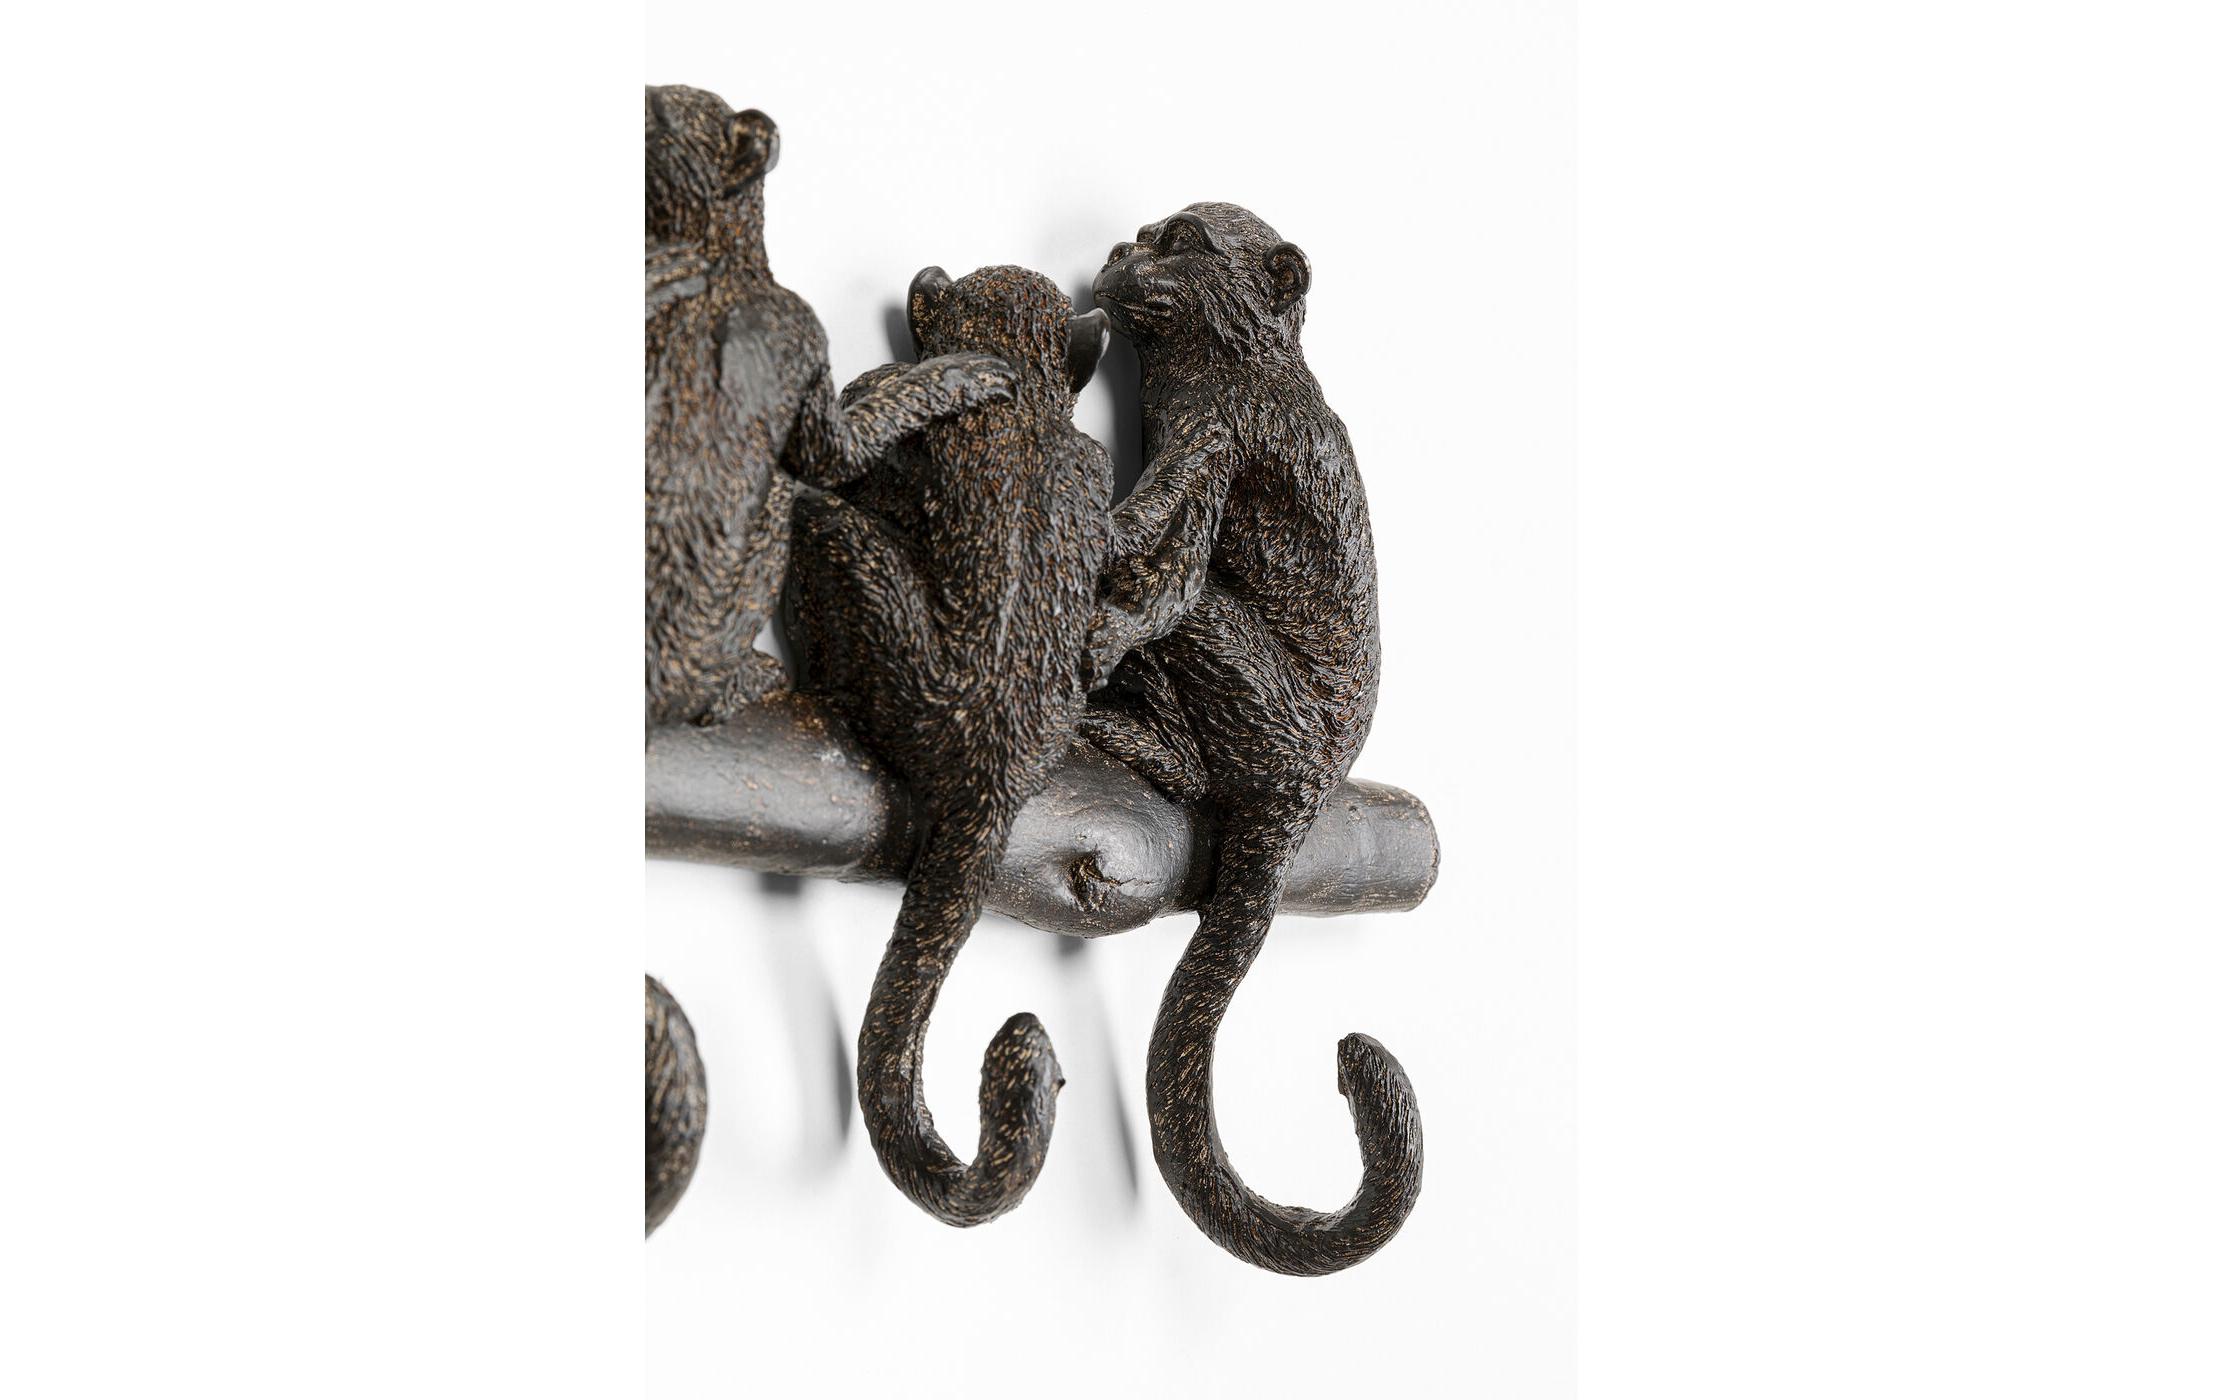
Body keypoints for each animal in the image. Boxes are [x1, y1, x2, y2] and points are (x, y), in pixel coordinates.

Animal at [1084, 202, 1423, 1275]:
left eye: (1187, 241)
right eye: (1146, 232)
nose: (1124, 250)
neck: (1245, 363)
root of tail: (1308, 783)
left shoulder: (1216, 433)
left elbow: (1156, 563)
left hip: (1251, 696)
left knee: (1190, 626)